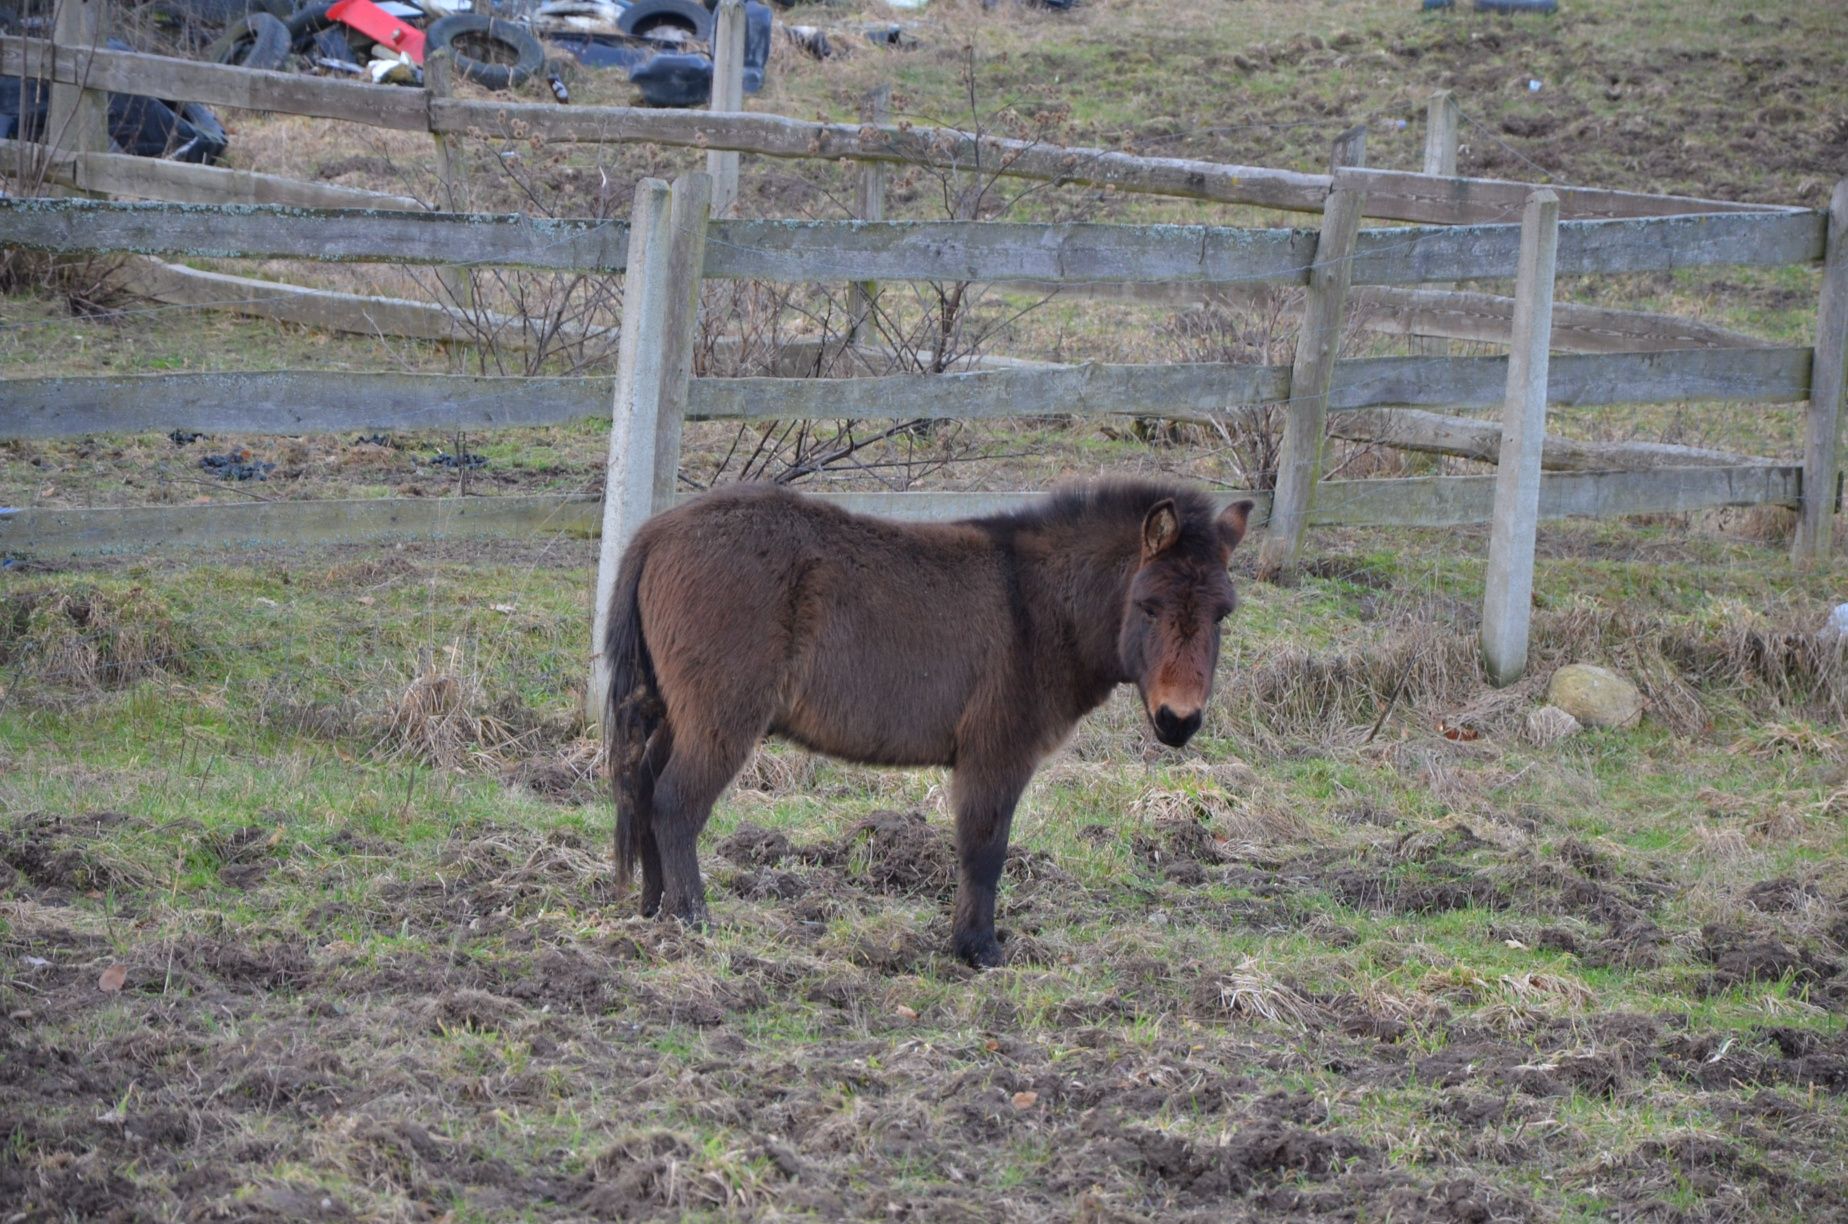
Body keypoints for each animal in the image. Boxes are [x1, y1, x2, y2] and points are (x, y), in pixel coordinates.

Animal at [606, 480, 1256, 968]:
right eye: (1148, 606)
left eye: (1222, 614)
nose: (1178, 721)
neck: (1038, 606)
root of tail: (658, 531)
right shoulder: (996, 755)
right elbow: (984, 851)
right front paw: (978, 950)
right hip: (721, 719)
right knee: (676, 804)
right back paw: (694, 921)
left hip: (678, 715)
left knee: (644, 792)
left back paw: (654, 910)